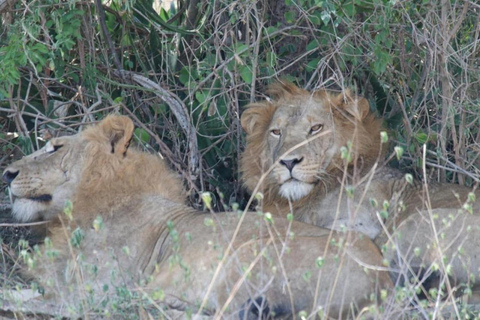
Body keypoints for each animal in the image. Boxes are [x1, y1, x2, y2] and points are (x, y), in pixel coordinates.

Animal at [1, 115, 392, 320]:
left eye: (55, 148)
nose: (7, 173)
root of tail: (382, 281)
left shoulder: (93, 291)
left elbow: (33, 299)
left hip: (243, 255)